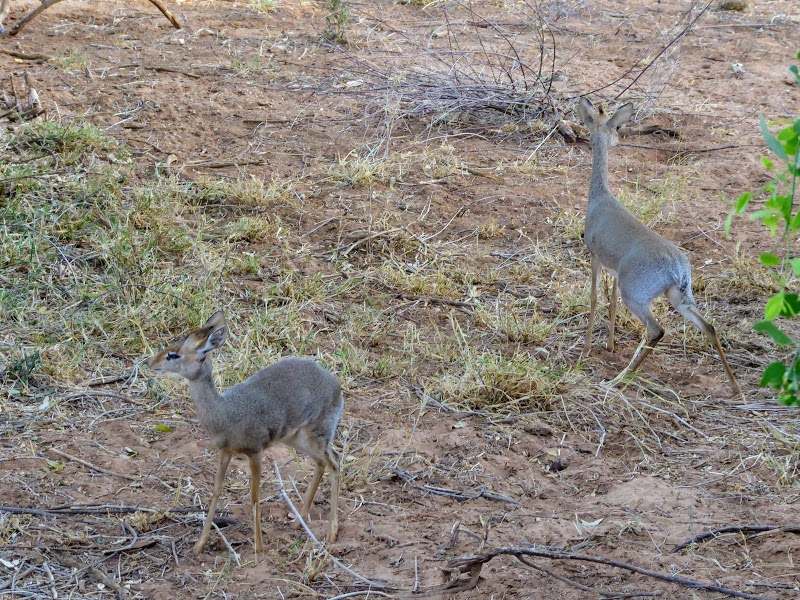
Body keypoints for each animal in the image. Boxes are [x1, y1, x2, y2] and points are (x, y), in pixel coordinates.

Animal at [148, 312, 342, 556]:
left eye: (174, 354)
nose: (150, 363)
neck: (225, 412)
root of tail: (335, 382)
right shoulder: (225, 452)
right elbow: (216, 490)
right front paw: (199, 545)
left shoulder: (255, 452)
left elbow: (254, 495)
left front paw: (259, 546)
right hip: (296, 439)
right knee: (321, 463)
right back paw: (298, 522)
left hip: (317, 435)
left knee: (335, 461)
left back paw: (332, 532)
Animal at [580, 96, 740, 396]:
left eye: (617, 126)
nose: (618, 140)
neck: (599, 198)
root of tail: (677, 268)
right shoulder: (615, 272)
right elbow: (611, 303)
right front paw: (610, 345)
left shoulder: (595, 257)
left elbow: (595, 299)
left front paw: (586, 348)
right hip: (679, 297)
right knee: (710, 326)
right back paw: (735, 388)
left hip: (638, 298)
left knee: (657, 330)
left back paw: (619, 379)